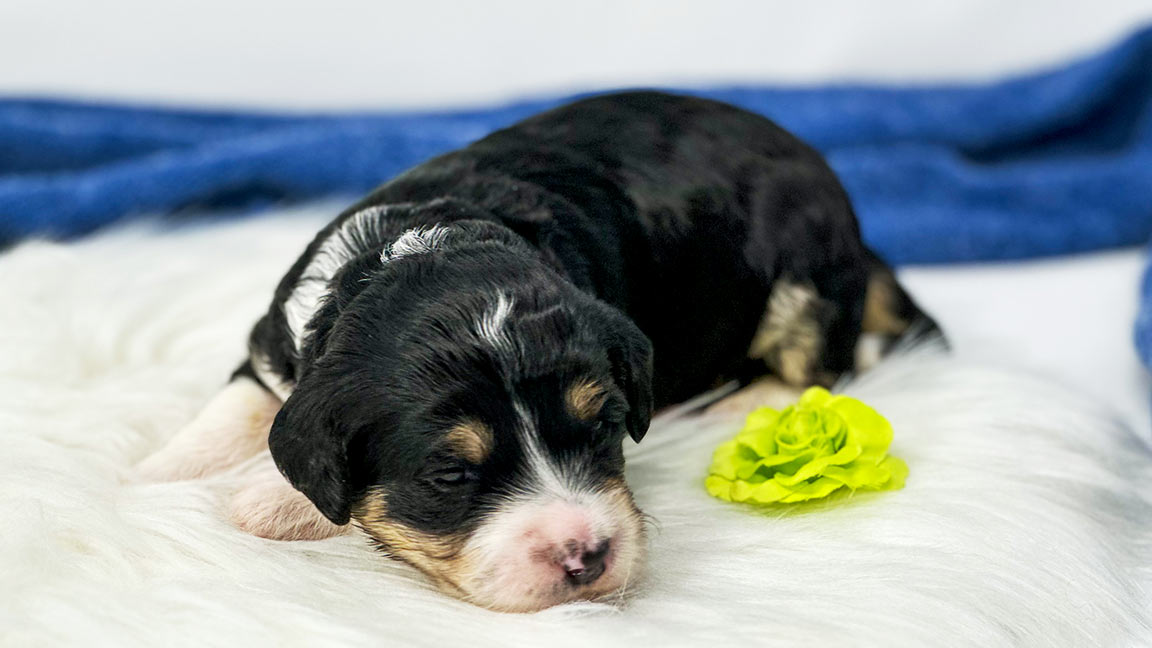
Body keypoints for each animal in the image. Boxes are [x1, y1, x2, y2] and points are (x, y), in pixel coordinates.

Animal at [139, 91, 940, 608]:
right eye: (450, 477)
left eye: (605, 429)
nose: (588, 558)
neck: (421, 247)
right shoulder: (272, 348)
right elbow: (238, 409)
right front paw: (153, 475)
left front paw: (265, 498)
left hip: (803, 277)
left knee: (823, 368)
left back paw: (724, 408)